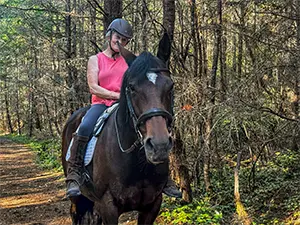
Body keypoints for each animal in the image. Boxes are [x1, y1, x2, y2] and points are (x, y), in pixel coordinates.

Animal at [61, 33, 173, 225]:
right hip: (77, 197)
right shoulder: (108, 206)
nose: (159, 147)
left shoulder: (152, 205)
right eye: (132, 87)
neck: (137, 162)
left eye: (171, 86)